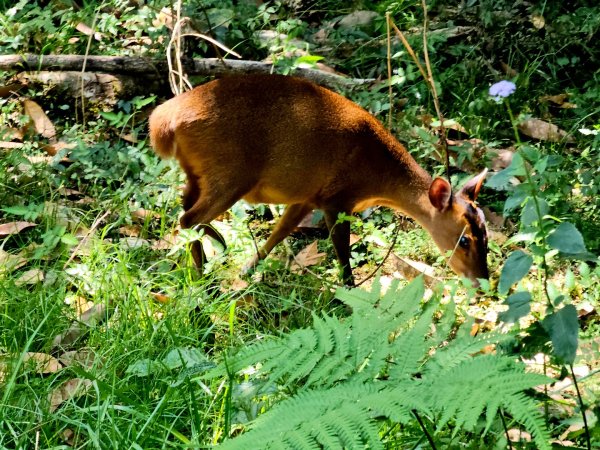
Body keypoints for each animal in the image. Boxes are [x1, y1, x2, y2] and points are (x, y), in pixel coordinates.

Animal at [149, 74, 488, 284]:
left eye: (485, 233)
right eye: (464, 240)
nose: (482, 279)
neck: (377, 175)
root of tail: (163, 120)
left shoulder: (308, 197)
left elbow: (280, 232)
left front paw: (247, 269)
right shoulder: (336, 199)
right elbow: (342, 253)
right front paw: (349, 293)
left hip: (199, 173)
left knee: (185, 207)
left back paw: (209, 258)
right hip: (230, 174)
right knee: (188, 218)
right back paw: (204, 269)